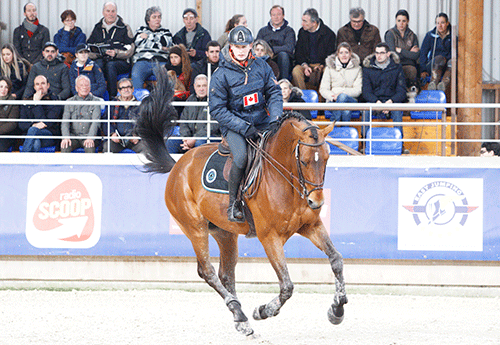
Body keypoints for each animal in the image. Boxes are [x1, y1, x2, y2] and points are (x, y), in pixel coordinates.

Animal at [136, 70, 348, 336]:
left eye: (327, 158)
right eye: (305, 161)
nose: (316, 201)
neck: (285, 179)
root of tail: (178, 166)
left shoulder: (311, 227)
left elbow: (336, 260)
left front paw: (337, 310)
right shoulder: (270, 237)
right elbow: (287, 285)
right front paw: (263, 311)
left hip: (225, 233)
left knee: (226, 274)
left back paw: (240, 317)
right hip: (195, 228)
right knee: (207, 271)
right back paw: (241, 312)